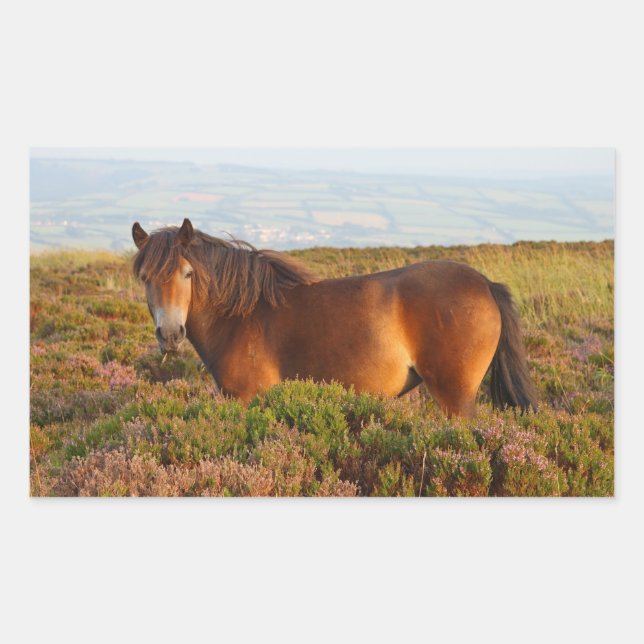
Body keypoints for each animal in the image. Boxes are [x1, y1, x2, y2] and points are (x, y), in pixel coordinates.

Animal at [131, 218, 537, 417]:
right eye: (145, 277)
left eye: (187, 274)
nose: (170, 334)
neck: (241, 317)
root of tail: (485, 284)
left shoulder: (248, 399)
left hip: (457, 398)